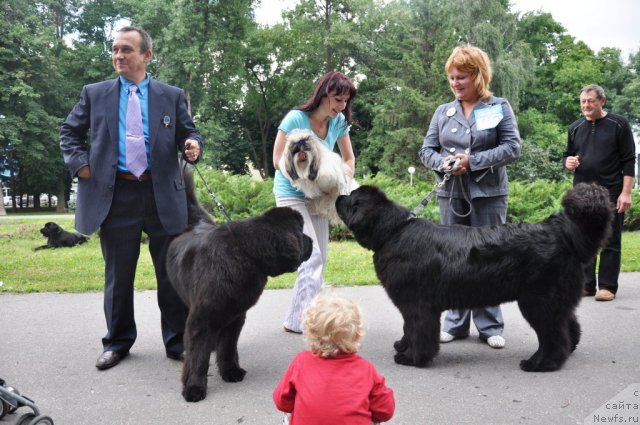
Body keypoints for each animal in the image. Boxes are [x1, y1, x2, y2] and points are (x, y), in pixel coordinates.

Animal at [166, 166, 314, 400]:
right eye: (301, 232)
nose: (311, 241)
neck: (246, 252)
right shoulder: (202, 318)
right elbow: (198, 355)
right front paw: (194, 387)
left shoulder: (235, 315)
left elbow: (227, 346)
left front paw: (230, 371)